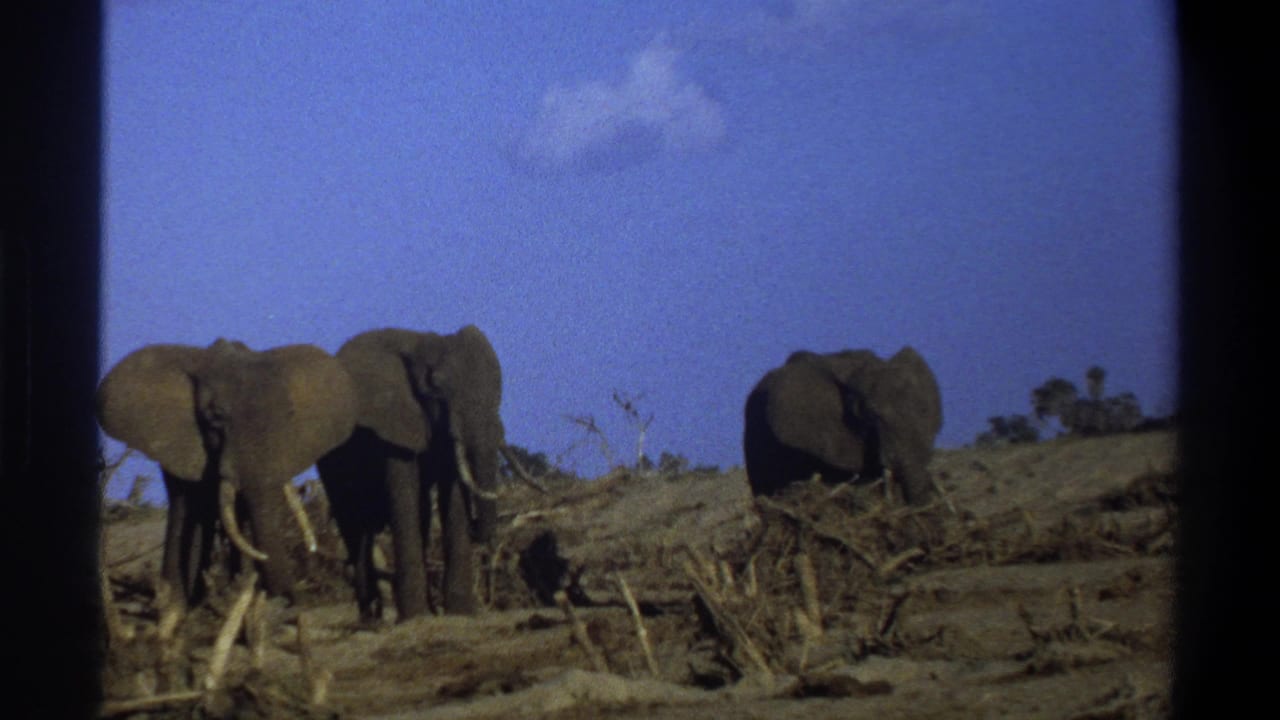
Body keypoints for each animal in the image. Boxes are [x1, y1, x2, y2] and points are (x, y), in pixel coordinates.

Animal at [316, 325, 507, 621]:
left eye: (500, 391)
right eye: (436, 388)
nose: (477, 527)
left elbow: (451, 495)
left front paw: (461, 613)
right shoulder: (393, 421)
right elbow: (404, 493)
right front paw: (415, 617)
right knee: (353, 521)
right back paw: (369, 617)